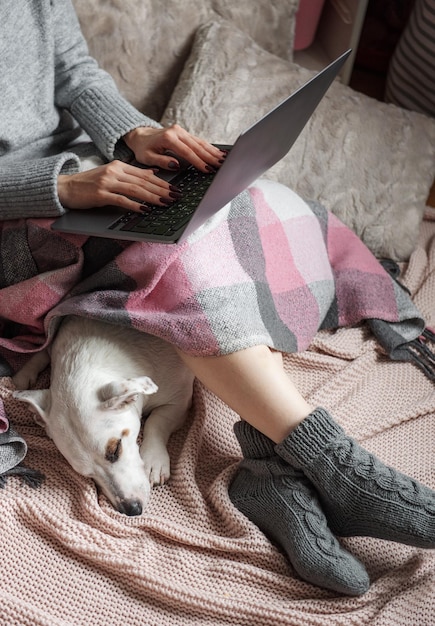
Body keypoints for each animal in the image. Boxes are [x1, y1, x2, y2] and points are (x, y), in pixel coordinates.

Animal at [13, 314, 194, 516]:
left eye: (115, 449)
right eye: (86, 474)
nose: (131, 509)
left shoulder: (180, 402)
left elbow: (156, 421)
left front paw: (154, 460)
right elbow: (43, 350)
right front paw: (24, 375)